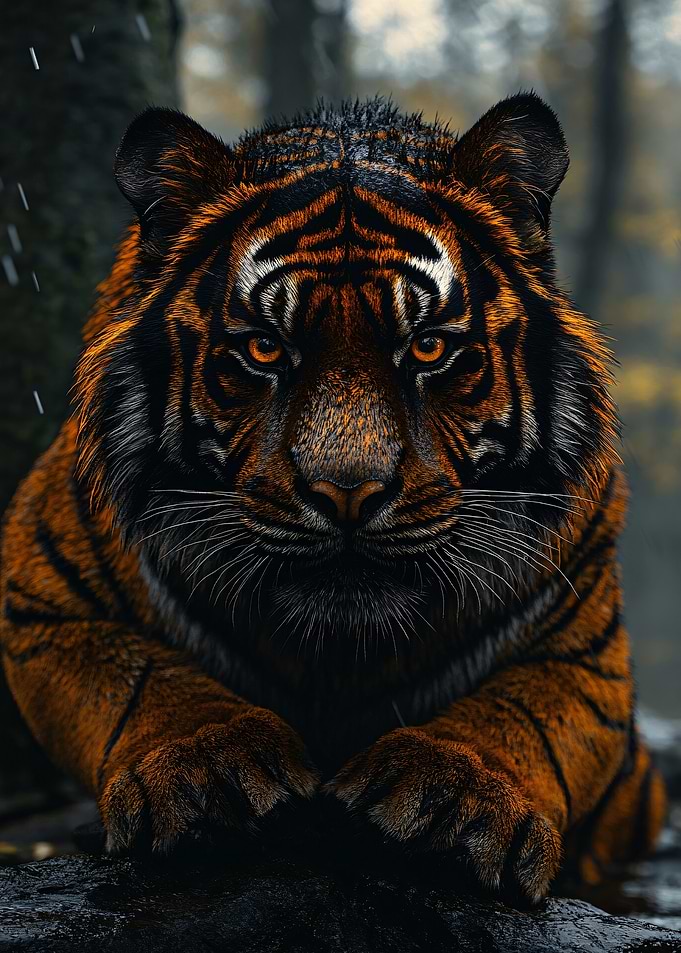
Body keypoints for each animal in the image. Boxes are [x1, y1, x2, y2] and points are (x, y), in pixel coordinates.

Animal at [0, 93, 665, 904]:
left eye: (428, 346)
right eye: (263, 348)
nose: (347, 492)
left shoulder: (585, 654)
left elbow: (516, 713)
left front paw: (455, 798)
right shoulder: (46, 600)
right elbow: (146, 681)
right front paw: (206, 769)